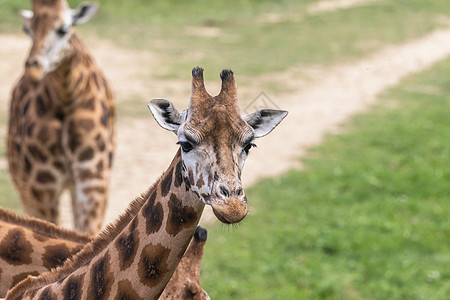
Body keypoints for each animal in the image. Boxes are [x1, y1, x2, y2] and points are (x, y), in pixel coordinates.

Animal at [6, 0, 115, 234]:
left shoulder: (94, 178)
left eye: (63, 29)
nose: (34, 69)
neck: (67, 96)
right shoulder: (41, 184)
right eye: (27, 30)